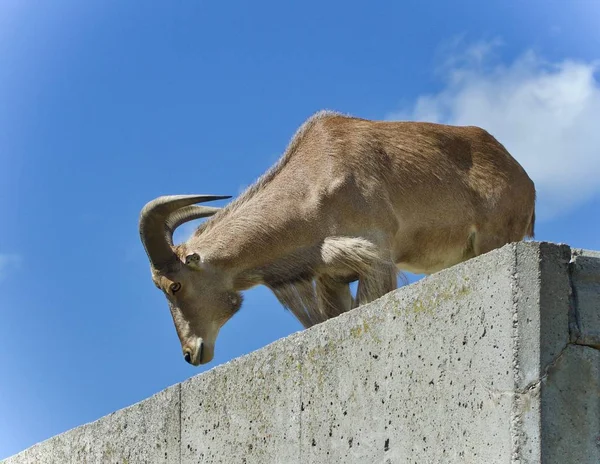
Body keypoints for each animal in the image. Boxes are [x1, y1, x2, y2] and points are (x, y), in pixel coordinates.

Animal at [139, 110, 536, 364]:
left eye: (174, 285)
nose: (191, 353)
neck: (313, 183)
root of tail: (522, 177)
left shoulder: (376, 258)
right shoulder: (330, 279)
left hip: (495, 238)